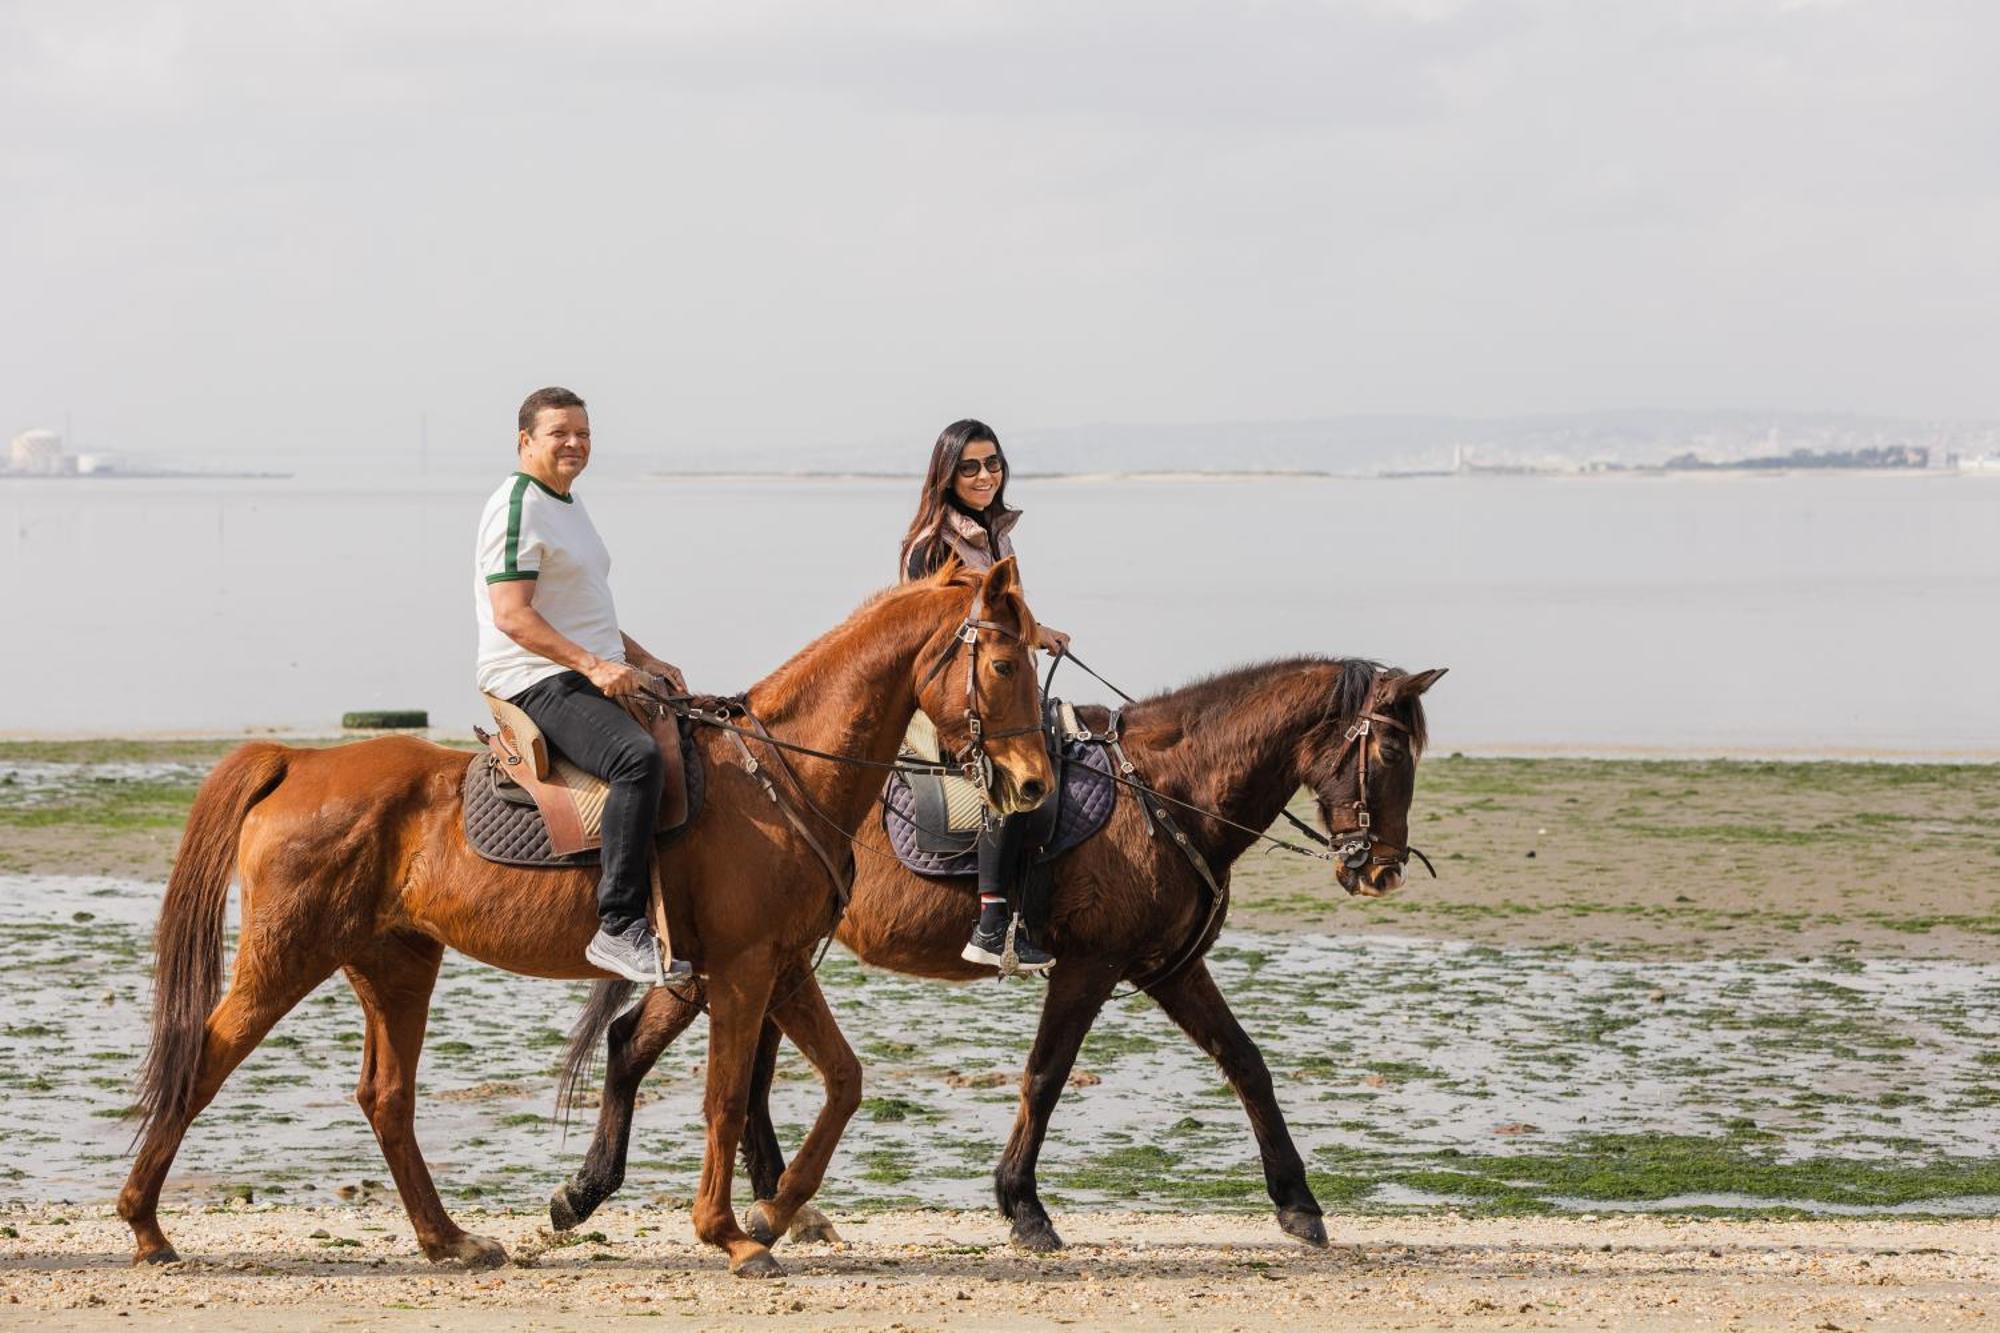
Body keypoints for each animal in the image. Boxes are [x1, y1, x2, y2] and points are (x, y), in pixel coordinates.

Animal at [117, 556, 1056, 1272]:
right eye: (1005, 665)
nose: (1034, 783)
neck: (781, 774)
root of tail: (298, 760)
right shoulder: (744, 969)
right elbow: (725, 1097)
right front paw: (729, 1233)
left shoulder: (782, 966)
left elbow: (843, 1081)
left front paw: (772, 1212)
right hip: (287, 956)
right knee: (203, 1060)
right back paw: (145, 1223)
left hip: (394, 962)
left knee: (386, 1096)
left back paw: (448, 1238)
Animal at [556, 660, 1448, 1248]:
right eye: (1389, 752)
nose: (1382, 869)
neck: (1165, 789)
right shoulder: (1090, 966)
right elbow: (1045, 1077)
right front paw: (1023, 1205)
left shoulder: (1169, 968)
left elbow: (1247, 1064)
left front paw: (1298, 1201)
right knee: (637, 1044)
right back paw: (595, 1189)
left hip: (772, 955)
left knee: (730, 1069)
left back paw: (766, 1203)